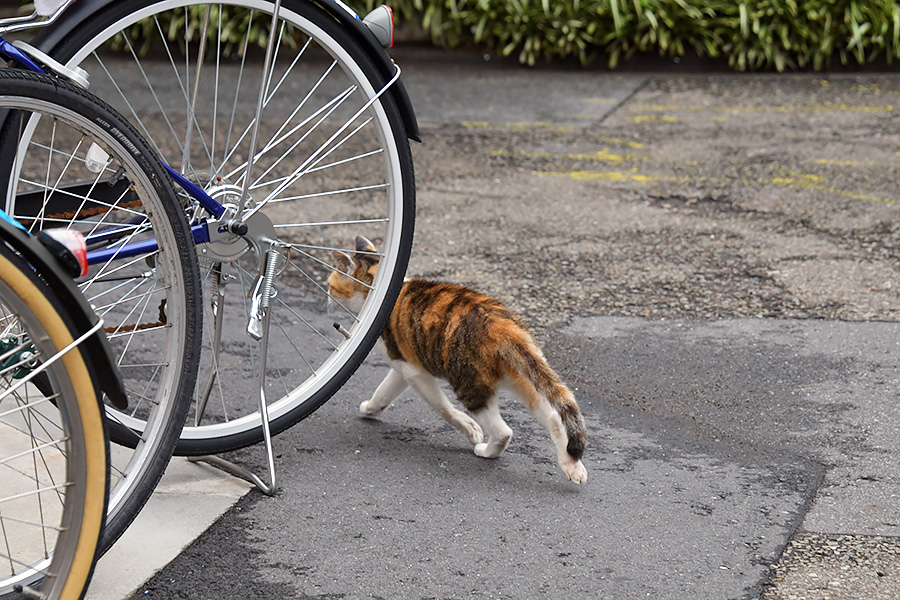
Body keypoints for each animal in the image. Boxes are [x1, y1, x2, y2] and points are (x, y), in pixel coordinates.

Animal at [326, 237, 588, 486]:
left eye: (330, 284)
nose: (327, 297)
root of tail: (502, 325)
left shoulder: (412, 369)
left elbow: (443, 408)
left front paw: (470, 429)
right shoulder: (403, 364)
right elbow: (385, 390)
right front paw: (372, 407)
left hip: (469, 382)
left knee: (503, 430)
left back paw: (486, 450)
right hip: (521, 375)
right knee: (553, 417)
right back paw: (571, 465)